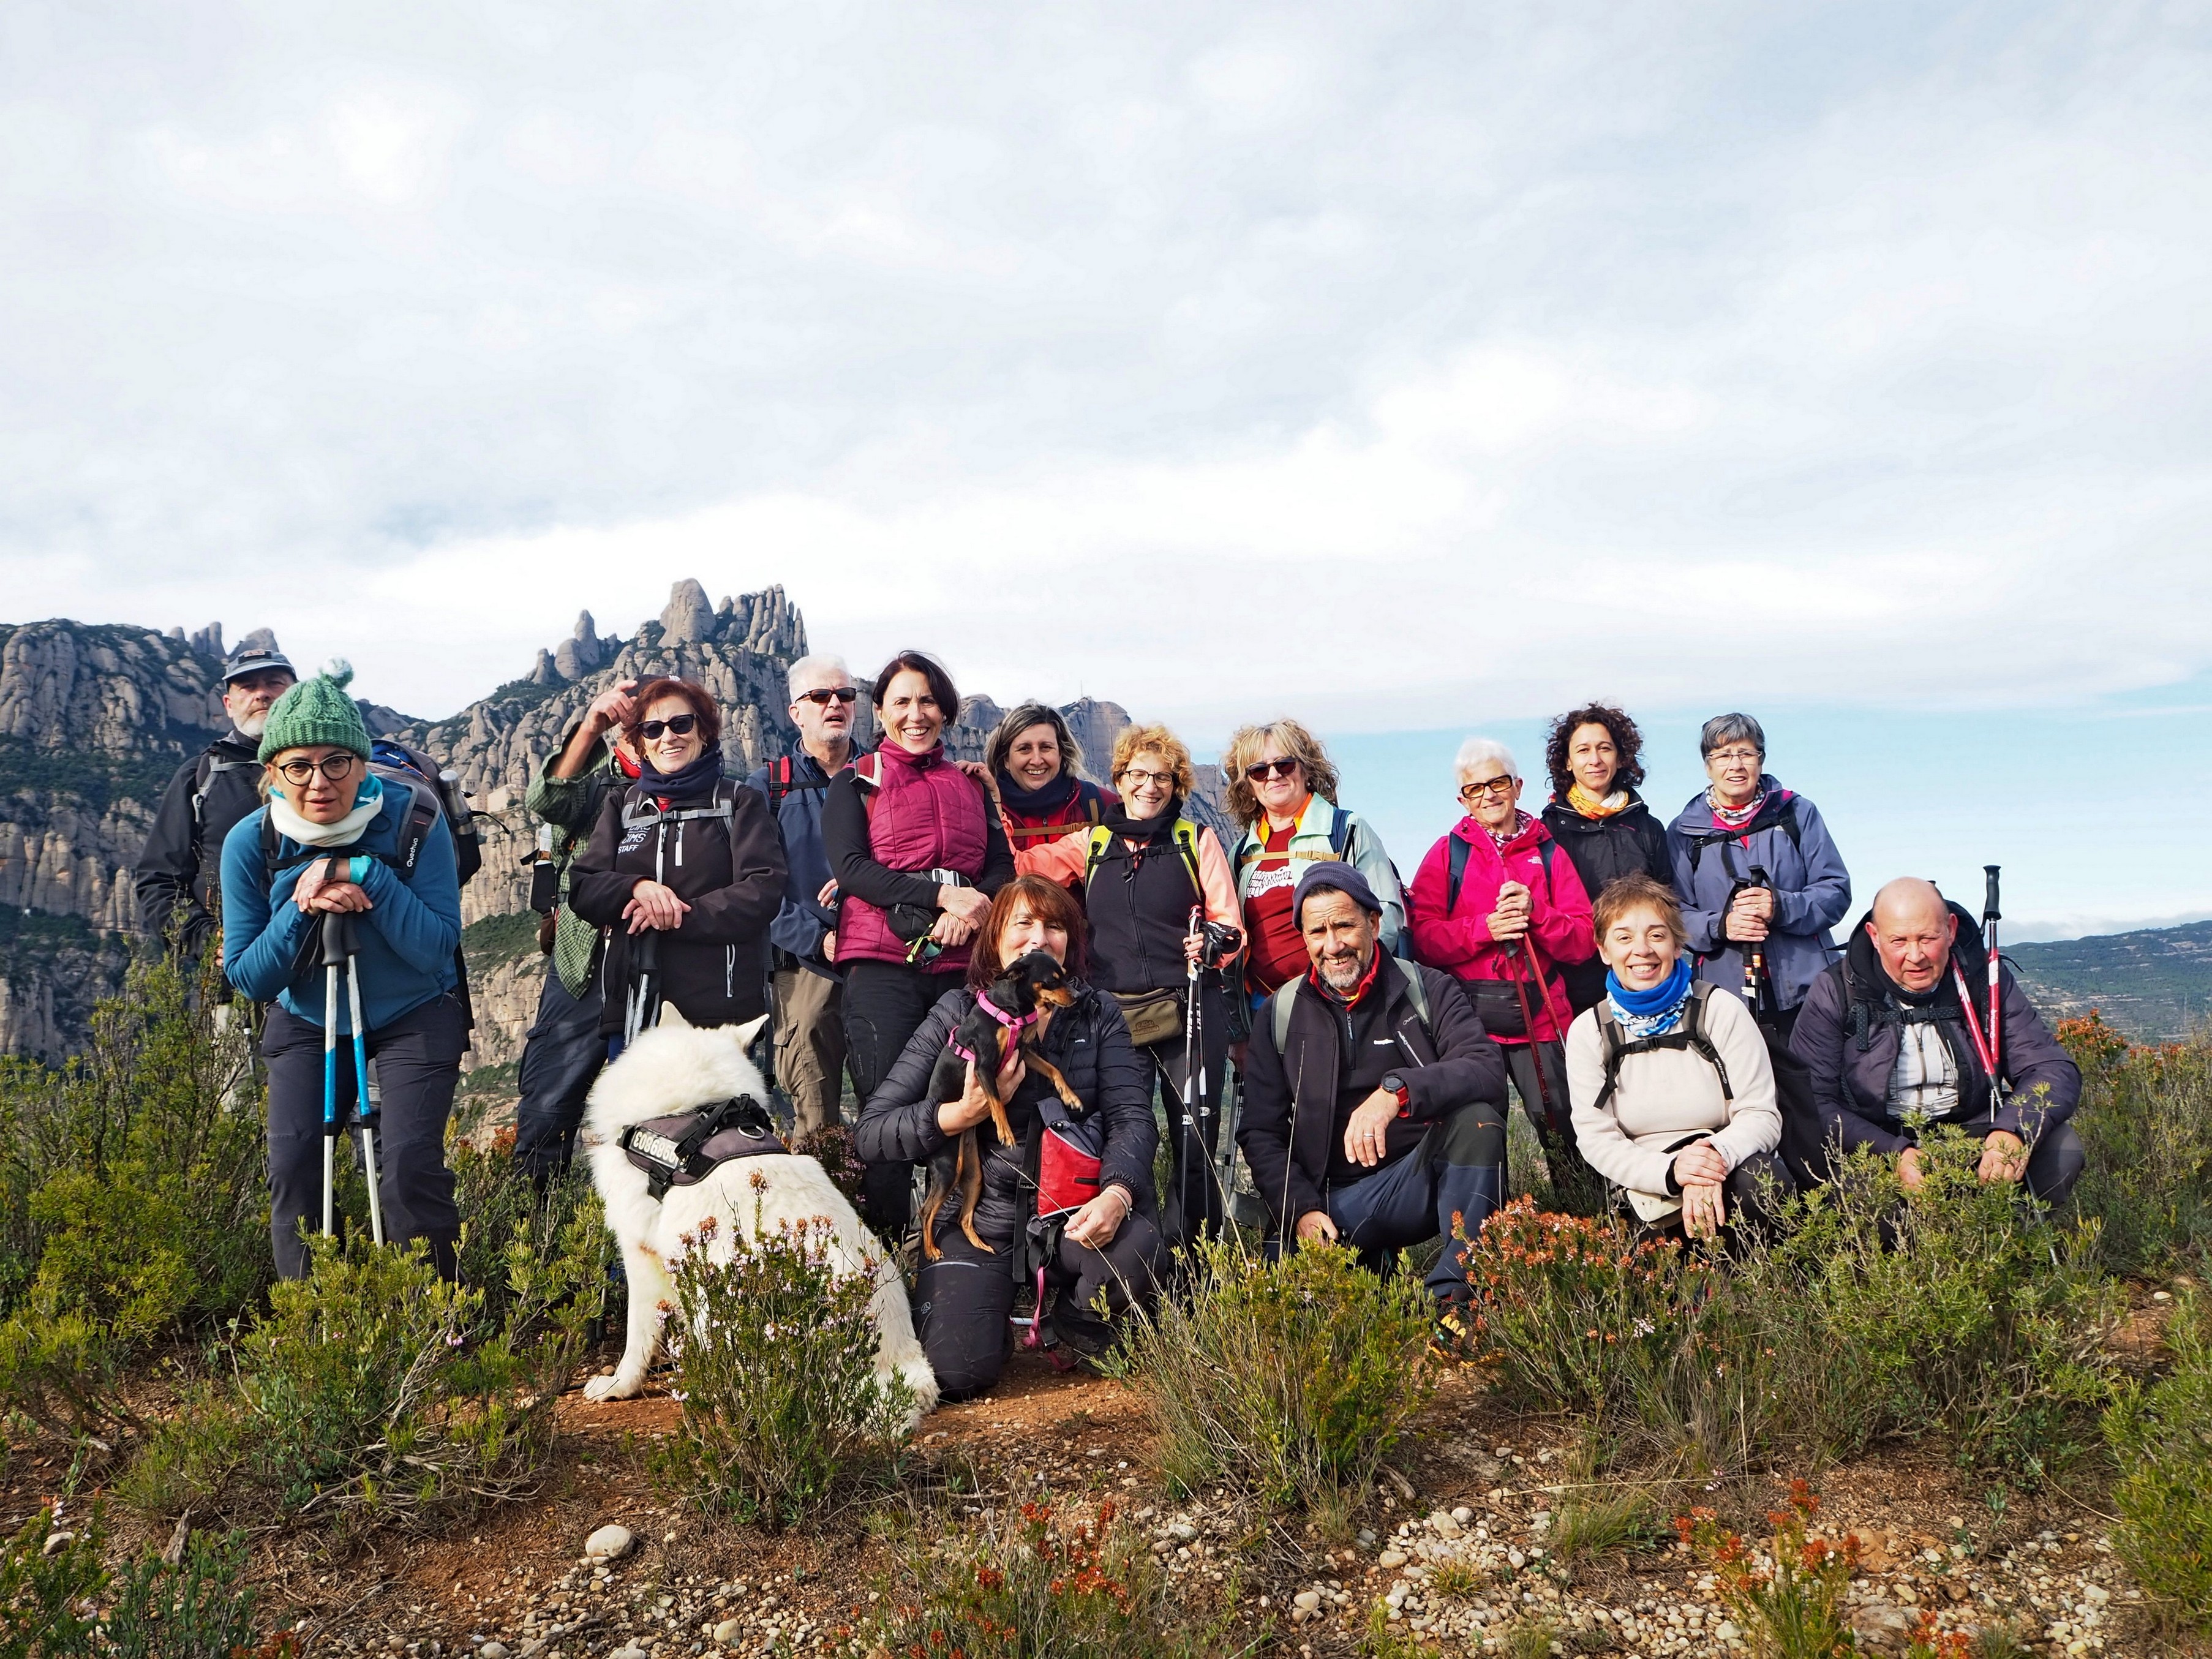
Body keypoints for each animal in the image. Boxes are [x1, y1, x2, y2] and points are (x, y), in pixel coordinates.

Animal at [919, 949, 1084, 1260]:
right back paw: (932, 1249)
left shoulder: (1025, 1053)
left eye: (1066, 976)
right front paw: (1005, 1132)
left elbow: (1053, 1070)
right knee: (926, 1211)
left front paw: (1070, 1096)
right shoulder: (984, 1067)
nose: (1078, 996)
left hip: (973, 1174)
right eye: (1051, 981)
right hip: (948, 1168)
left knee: (964, 1217)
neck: (1010, 1010)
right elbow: (996, 1100)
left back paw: (979, 1244)